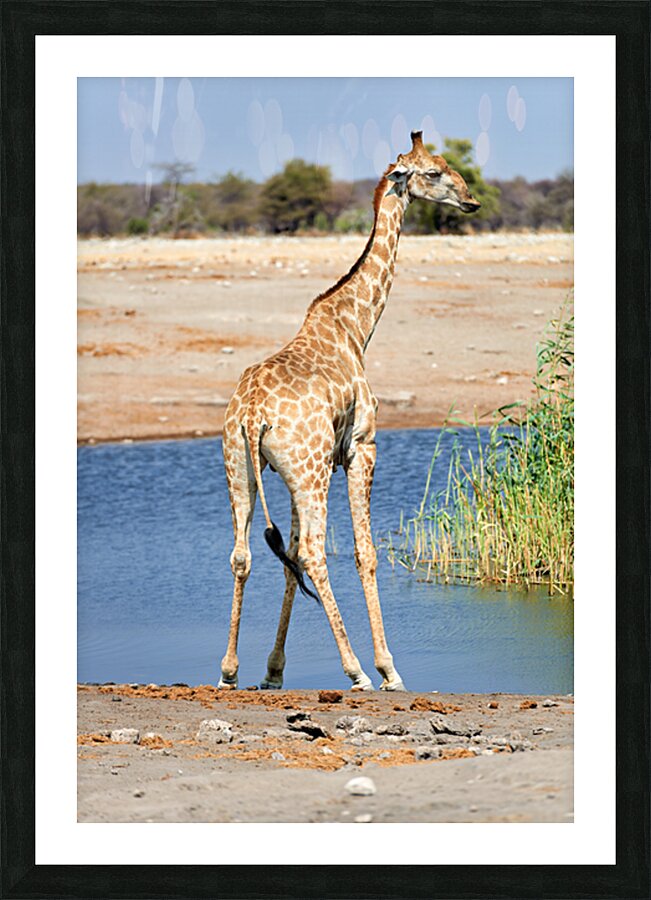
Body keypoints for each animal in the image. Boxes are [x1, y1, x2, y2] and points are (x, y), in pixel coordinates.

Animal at [219, 130, 480, 691]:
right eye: (433, 173)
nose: (471, 200)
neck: (357, 326)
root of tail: (250, 413)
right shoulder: (360, 448)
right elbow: (365, 552)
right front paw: (389, 668)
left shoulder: (299, 472)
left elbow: (289, 556)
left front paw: (273, 670)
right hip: (309, 471)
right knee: (315, 553)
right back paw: (357, 668)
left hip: (244, 468)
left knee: (247, 553)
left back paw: (229, 671)